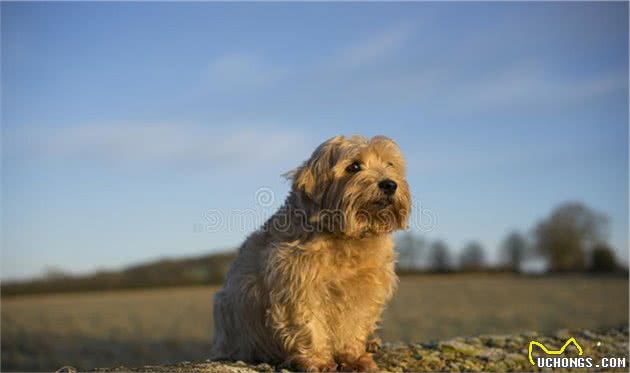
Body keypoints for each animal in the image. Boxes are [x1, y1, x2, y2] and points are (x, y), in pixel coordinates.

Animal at [210, 135, 412, 370]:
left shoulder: (365, 290)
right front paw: (318, 361)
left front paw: (354, 357)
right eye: (354, 166)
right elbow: (308, 325)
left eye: (390, 164)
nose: (390, 184)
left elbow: (353, 327)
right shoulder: (298, 286)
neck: (347, 238)